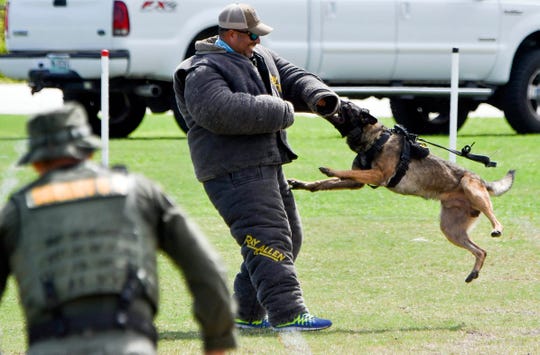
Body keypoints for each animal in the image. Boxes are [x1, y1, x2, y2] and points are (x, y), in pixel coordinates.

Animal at [288, 103, 516, 284]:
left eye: (347, 107)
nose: (336, 100)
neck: (375, 139)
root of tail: (482, 181)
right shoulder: (356, 182)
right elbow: (324, 183)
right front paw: (302, 184)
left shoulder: (378, 175)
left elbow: (343, 172)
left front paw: (329, 169)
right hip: (451, 229)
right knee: (481, 251)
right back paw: (473, 272)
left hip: (470, 186)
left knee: (493, 215)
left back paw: (497, 228)